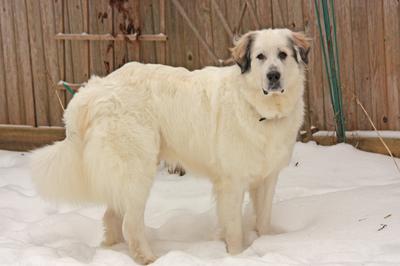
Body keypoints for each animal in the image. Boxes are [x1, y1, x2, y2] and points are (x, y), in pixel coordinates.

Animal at [31, 28, 310, 262]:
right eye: (260, 56)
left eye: (282, 55)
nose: (273, 76)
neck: (259, 110)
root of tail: (94, 90)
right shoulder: (232, 182)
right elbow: (234, 230)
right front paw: (237, 256)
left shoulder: (267, 178)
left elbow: (263, 220)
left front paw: (264, 245)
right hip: (137, 170)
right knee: (130, 223)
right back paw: (148, 258)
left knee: (112, 216)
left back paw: (113, 251)